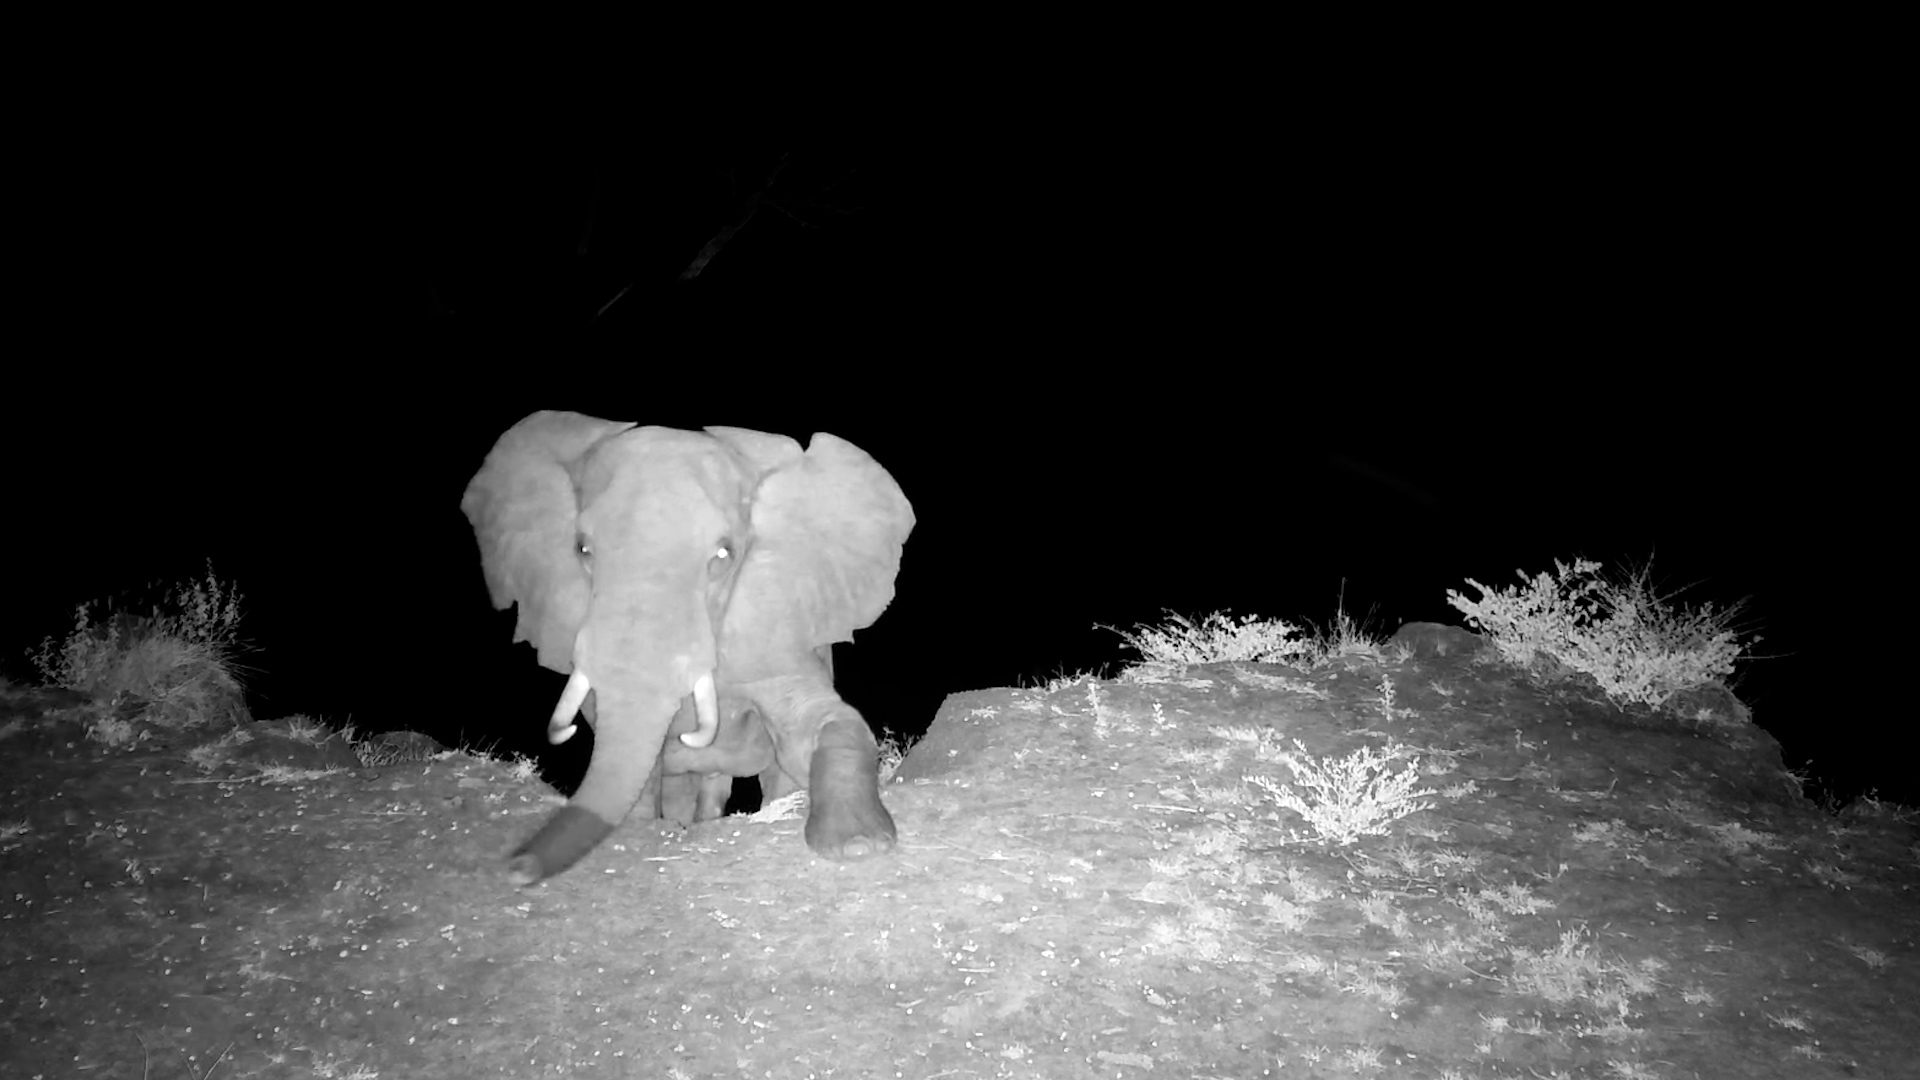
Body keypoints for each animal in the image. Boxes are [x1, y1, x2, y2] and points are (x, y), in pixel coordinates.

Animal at [462, 411, 914, 885]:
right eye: (582, 549)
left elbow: (817, 726)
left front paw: (858, 845)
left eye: (724, 555)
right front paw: (647, 826)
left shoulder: (775, 625)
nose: (517, 867)